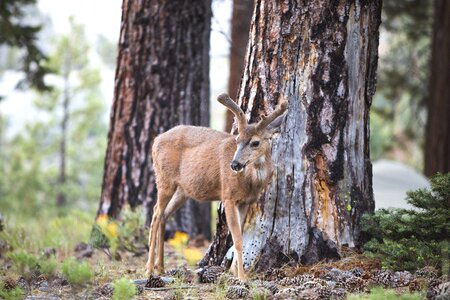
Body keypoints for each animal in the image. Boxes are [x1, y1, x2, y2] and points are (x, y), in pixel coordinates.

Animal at [148, 93, 288, 282]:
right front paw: (241, 277)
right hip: (164, 179)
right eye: (237, 139)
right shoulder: (228, 197)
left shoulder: (246, 202)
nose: (235, 164)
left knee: (163, 215)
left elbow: (239, 236)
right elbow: (237, 239)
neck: (250, 181)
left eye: (255, 143)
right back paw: (149, 269)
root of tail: (155, 141)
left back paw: (161, 268)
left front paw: (235, 272)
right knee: (156, 214)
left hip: (182, 190)